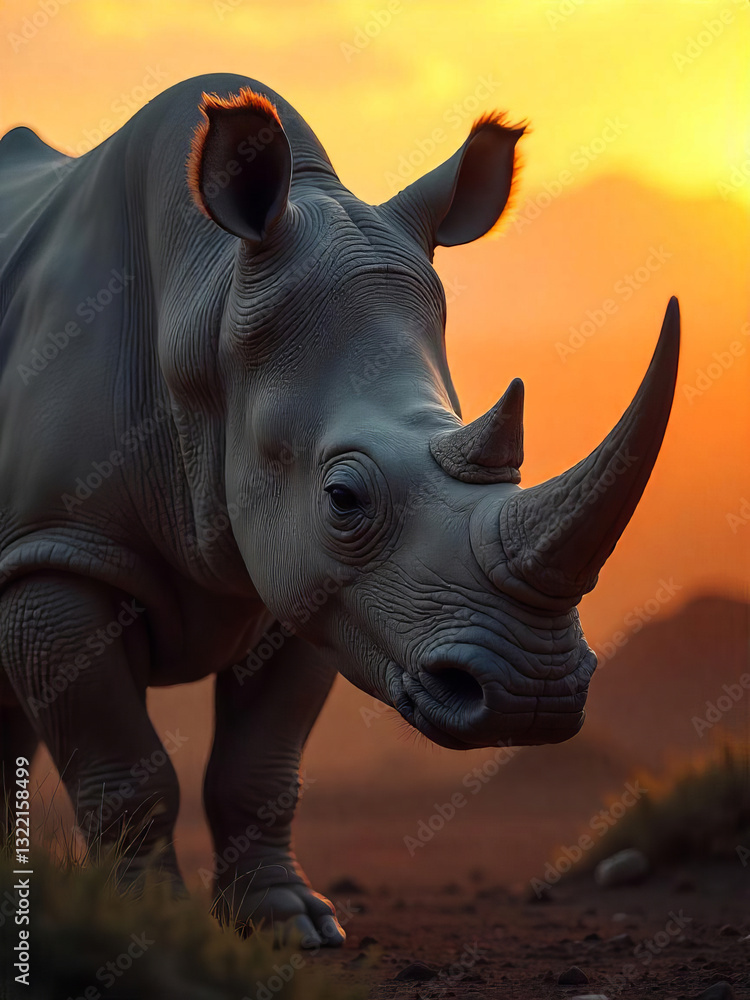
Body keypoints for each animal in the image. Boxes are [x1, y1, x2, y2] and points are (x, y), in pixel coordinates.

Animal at [0, 73, 679, 946]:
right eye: (344, 498)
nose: (534, 693)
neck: (207, 305)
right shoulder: (57, 551)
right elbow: (122, 768)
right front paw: (147, 929)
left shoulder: (315, 587)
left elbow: (259, 766)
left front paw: (290, 926)